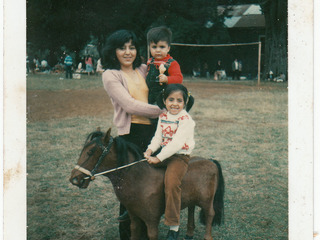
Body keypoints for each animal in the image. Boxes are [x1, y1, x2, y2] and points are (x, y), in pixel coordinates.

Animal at [70, 129, 225, 240]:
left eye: (91, 152)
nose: (74, 179)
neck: (140, 179)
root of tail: (211, 161)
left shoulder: (151, 222)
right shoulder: (134, 218)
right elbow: (134, 232)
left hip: (206, 201)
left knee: (210, 214)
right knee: (191, 210)